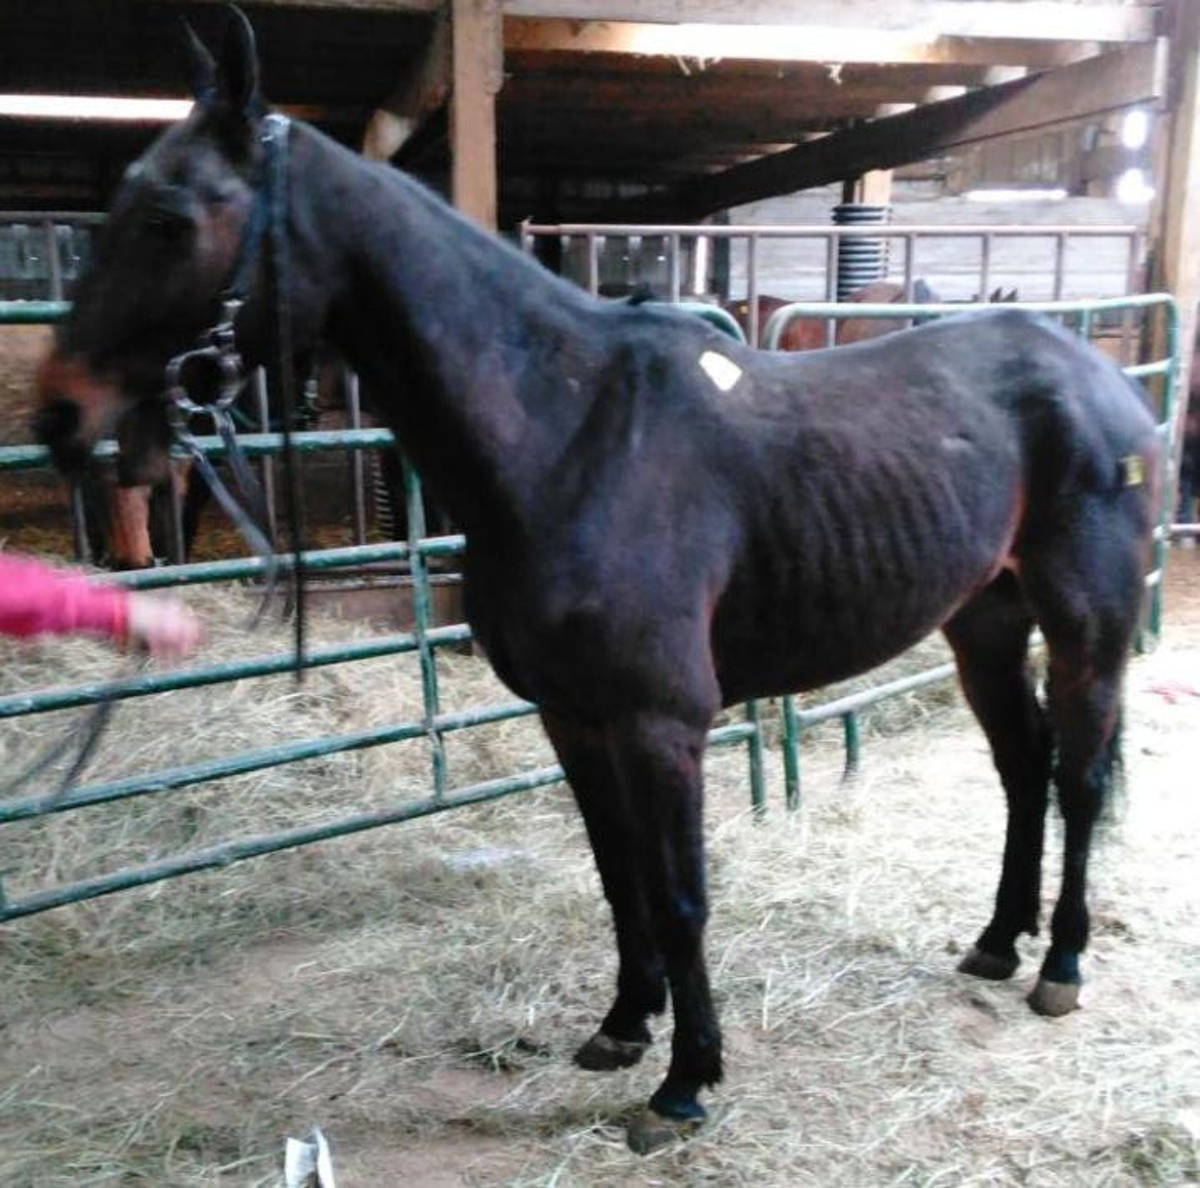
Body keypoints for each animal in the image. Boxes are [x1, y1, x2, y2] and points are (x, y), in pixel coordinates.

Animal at [32, 10, 1162, 1154]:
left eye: (169, 218)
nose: (59, 416)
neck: (570, 435)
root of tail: (1101, 376)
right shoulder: (572, 718)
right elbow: (620, 879)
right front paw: (624, 1026)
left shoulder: (664, 725)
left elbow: (681, 895)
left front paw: (687, 1082)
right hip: (983, 624)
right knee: (1023, 771)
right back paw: (996, 942)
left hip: (1088, 630)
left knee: (1078, 777)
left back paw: (1060, 964)